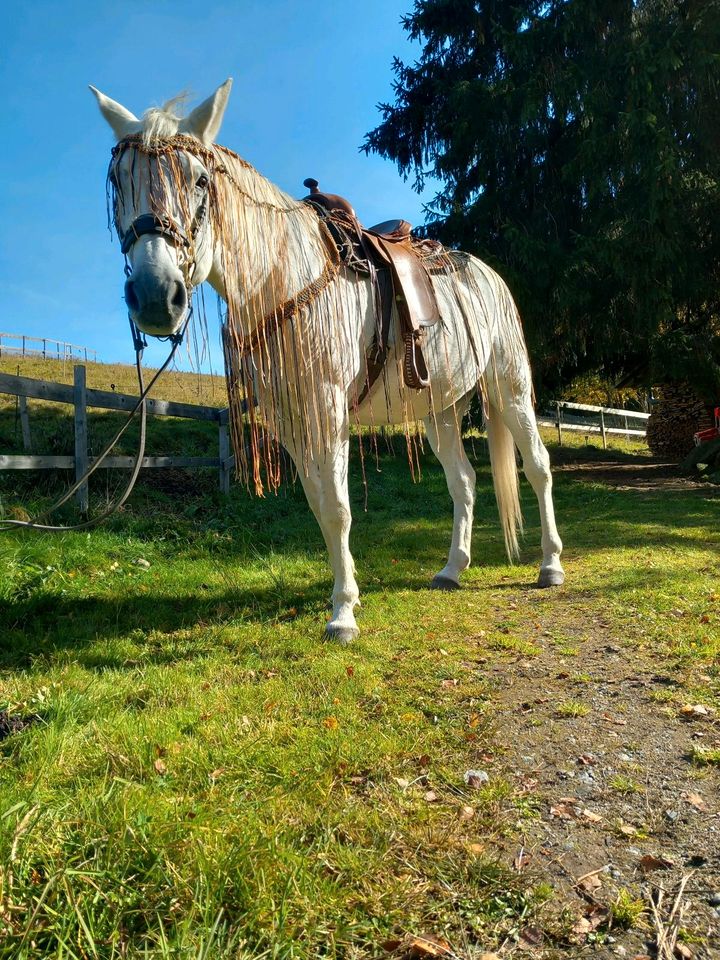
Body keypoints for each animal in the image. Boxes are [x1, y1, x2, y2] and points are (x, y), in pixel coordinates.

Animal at [90, 79, 564, 640]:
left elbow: (338, 509)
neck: (282, 278)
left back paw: (550, 565)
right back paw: (452, 569)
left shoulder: (327, 409)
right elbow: (320, 506)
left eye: (200, 180)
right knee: (464, 482)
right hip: (440, 410)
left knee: (538, 467)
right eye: (117, 181)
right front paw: (346, 594)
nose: (155, 297)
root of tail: (487, 273)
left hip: (509, 389)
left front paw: (342, 615)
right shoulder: (288, 417)